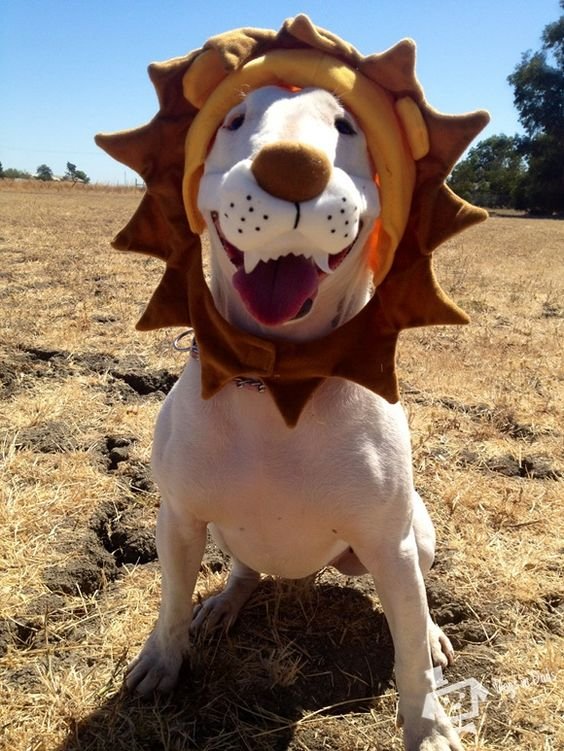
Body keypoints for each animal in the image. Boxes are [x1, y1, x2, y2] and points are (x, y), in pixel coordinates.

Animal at [125, 85, 464, 748]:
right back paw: (223, 605)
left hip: (417, 532)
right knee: (244, 572)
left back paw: (437, 634)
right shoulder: (178, 518)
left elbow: (409, 647)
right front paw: (161, 661)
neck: (278, 378)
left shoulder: (390, 544)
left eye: (347, 126)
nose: (290, 167)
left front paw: (428, 725)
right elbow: (172, 600)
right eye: (233, 119)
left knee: (419, 603)